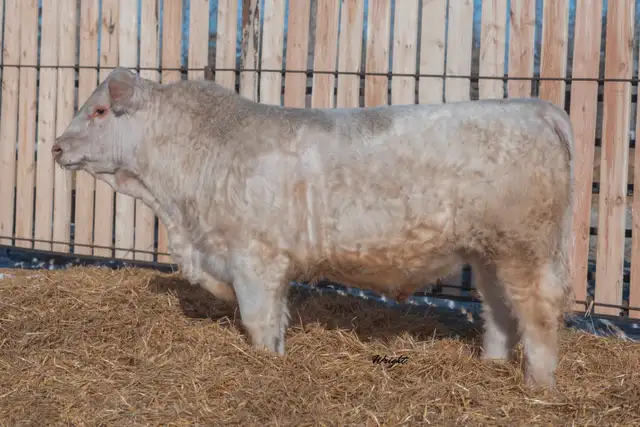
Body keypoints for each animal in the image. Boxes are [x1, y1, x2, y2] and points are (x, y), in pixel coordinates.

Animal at [52, 67, 574, 388]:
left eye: (99, 110)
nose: (56, 146)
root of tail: (534, 107)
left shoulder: (255, 258)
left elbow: (258, 321)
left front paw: (264, 366)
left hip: (524, 248)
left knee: (539, 311)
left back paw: (539, 386)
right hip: (489, 252)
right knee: (500, 312)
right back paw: (492, 366)